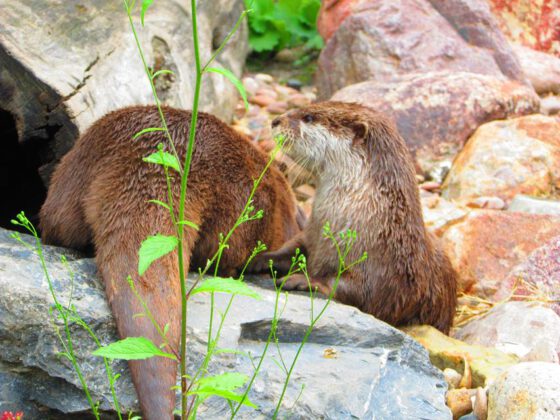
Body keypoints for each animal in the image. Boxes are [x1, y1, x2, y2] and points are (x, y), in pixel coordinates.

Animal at [252, 101, 458, 334]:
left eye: (309, 117)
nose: (275, 121)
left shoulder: (388, 272)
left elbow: (361, 293)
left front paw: (306, 281)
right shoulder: (313, 233)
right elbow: (293, 248)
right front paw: (260, 258)